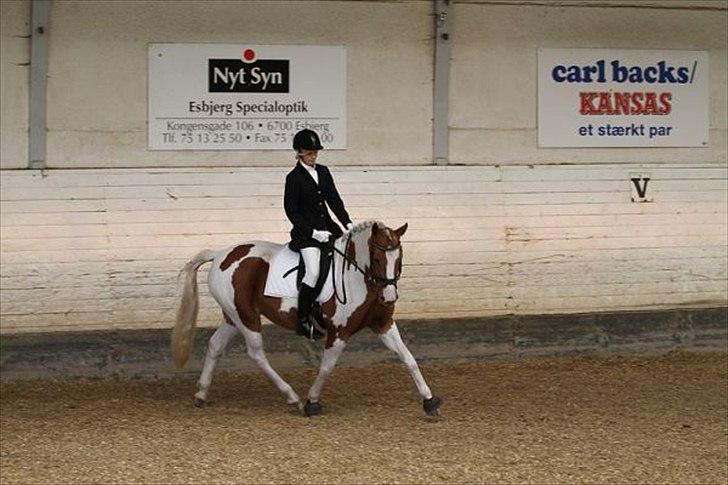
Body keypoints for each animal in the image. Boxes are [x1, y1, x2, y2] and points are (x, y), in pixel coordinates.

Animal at [172, 219, 444, 416]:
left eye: (399, 258)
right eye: (377, 259)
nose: (389, 298)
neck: (360, 279)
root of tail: (220, 254)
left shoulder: (383, 324)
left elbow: (408, 358)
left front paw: (429, 401)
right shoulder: (339, 332)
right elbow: (326, 367)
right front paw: (312, 402)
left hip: (233, 316)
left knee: (215, 345)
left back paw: (201, 394)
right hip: (246, 317)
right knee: (256, 353)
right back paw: (292, 397)